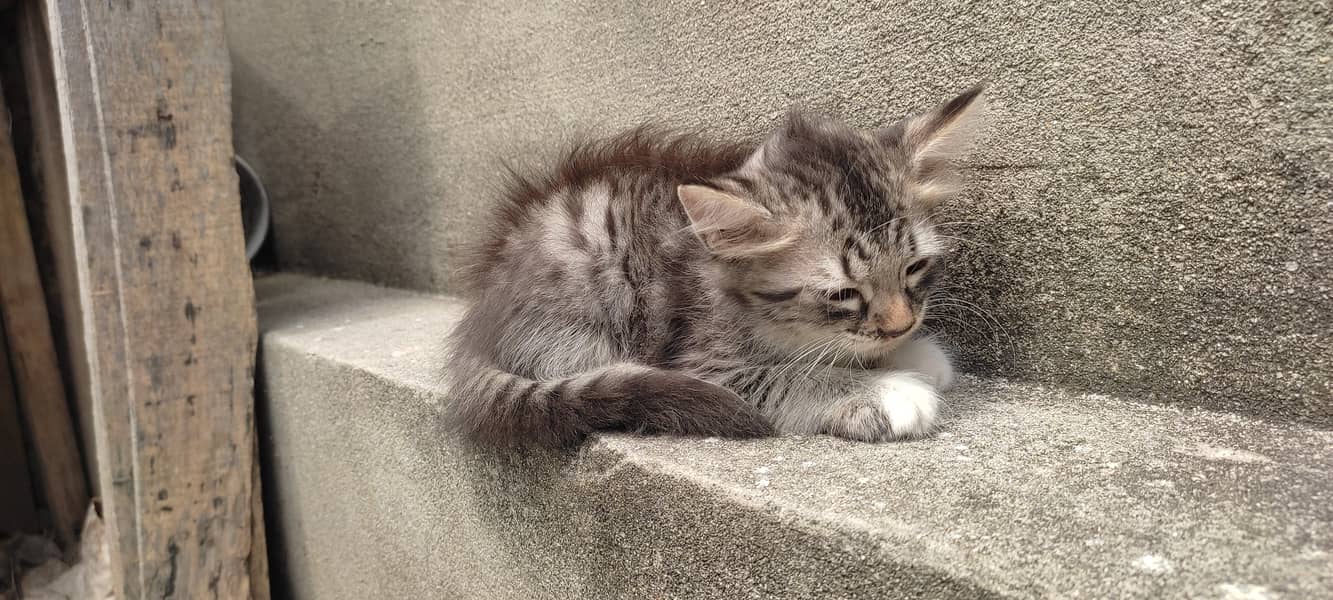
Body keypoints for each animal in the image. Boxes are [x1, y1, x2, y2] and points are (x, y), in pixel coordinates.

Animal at [453, 84, 986, 445]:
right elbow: (790, 374)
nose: (902, 325)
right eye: (843, 294)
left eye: (914, 268)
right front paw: (887, 390)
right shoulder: (705, 364)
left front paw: (912, 354)